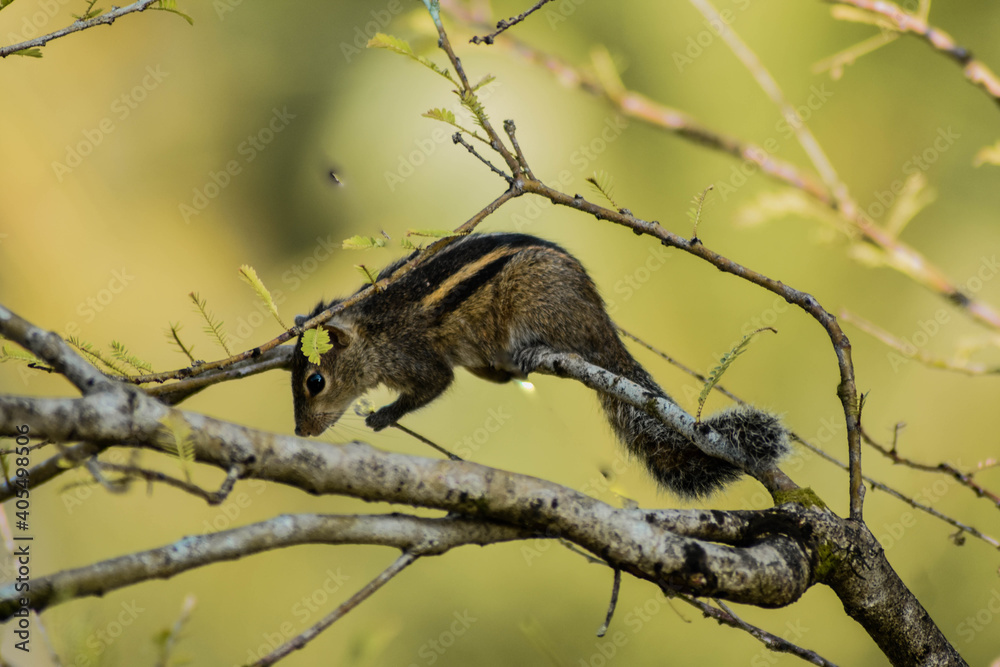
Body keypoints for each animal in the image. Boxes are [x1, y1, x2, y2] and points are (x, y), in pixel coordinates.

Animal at [290, 232, 789, 498]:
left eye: (315, 381)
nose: (300, 431)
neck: (371, 329)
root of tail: (600, 320)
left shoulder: (414, 357)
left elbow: (435, 384)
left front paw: (383, 416)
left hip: (537, 307)